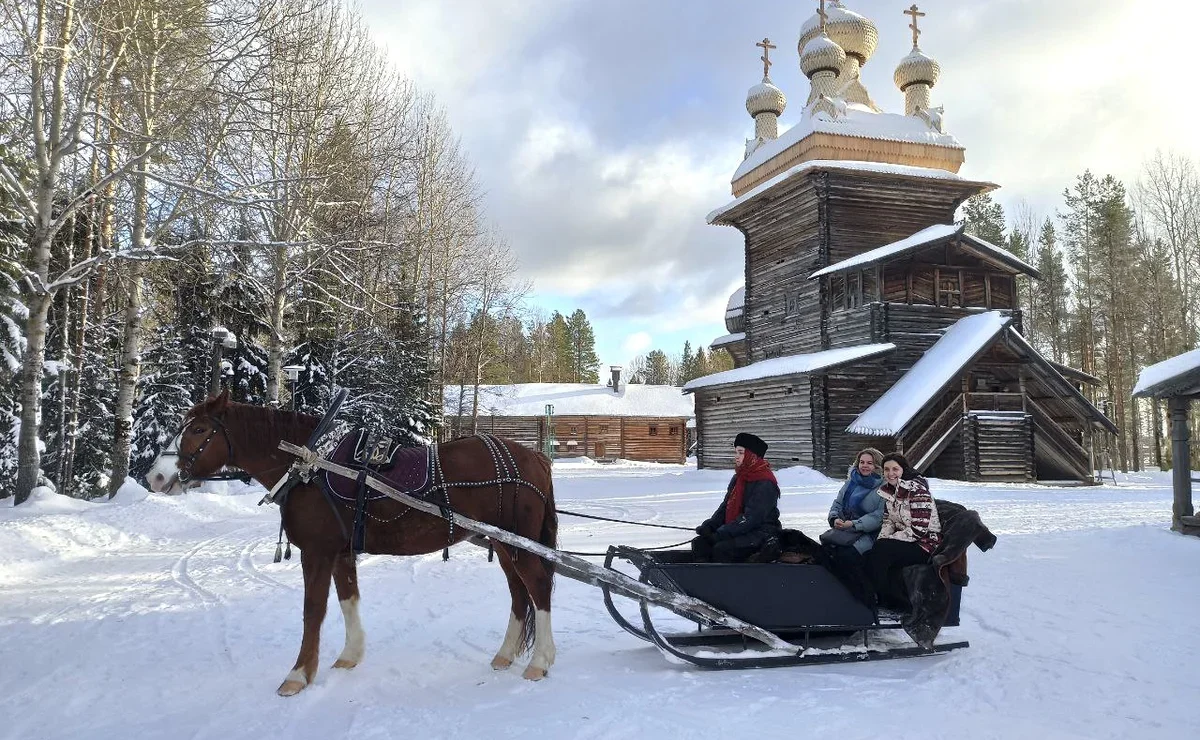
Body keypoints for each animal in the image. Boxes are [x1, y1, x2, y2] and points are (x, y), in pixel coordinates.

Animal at [171, 388, 559, 695]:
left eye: (200, 429)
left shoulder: (317, 552)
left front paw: (298, 675)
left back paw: (540, 661)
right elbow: (348, 600)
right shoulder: (341, 552)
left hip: (519, 543)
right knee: (519, 593)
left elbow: (313, 610)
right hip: (506, 544)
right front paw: (349, 656)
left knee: (538, 587)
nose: (166, 475)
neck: (311, 464)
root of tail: (536, 457)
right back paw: (505, 655)